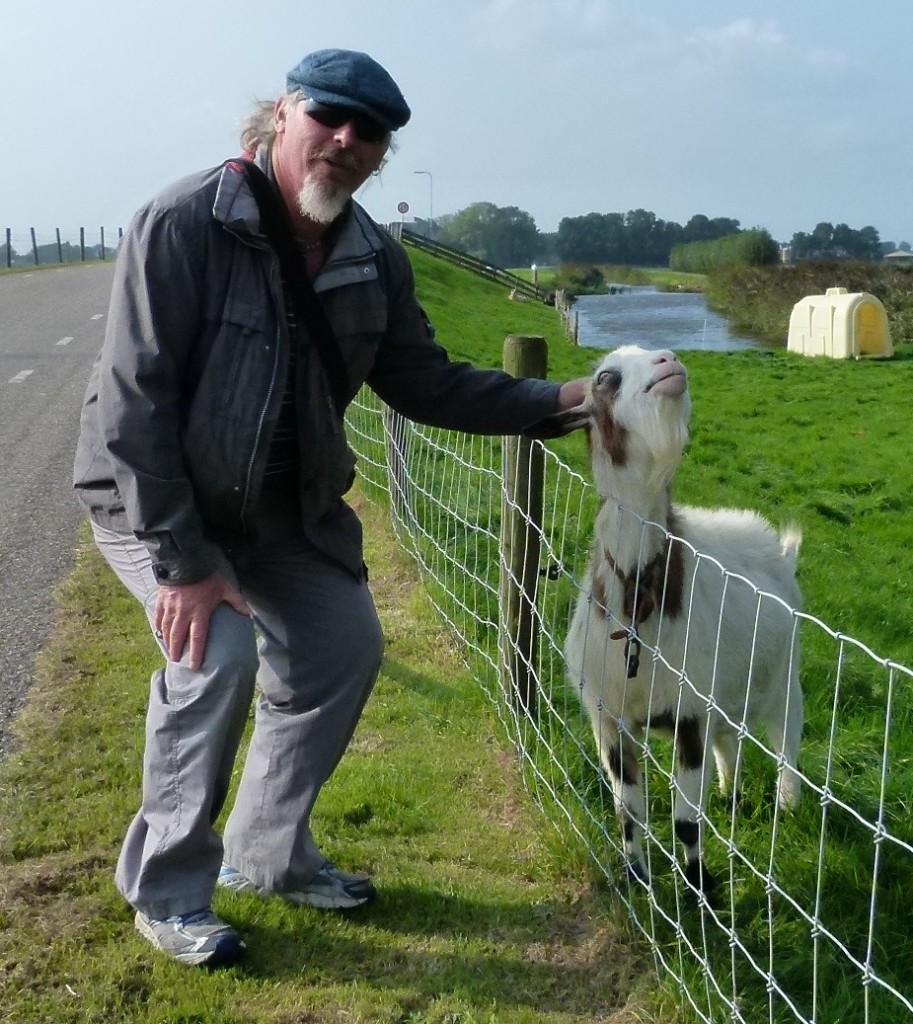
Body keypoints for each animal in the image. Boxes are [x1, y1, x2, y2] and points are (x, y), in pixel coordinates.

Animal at [569, 348, 802, 892]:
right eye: (605, 377)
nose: (669, 360)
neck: (636, 613)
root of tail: (779, 549)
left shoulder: (689, 716)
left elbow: (684, 821)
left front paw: (700, 887)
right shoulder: (610, 720)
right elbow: (628, 811)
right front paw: (636, 876)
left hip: (785, 679)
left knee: (788, 745)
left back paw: (787, 804)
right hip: (726, 693)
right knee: (730, 744)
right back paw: (731, 796)